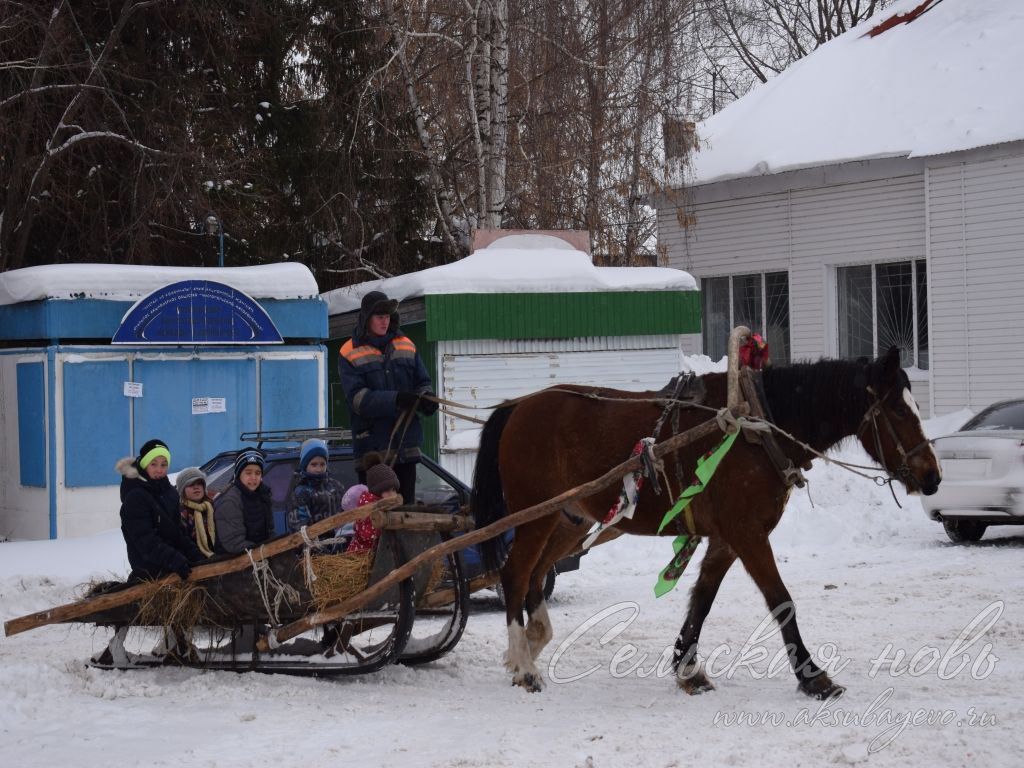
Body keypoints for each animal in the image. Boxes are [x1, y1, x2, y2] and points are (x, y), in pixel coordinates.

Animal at [468, 348, 937, 696]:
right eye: (898, 411)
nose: (933, 476)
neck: (756, 427)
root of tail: (517, 406)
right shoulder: (747, 534)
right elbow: (781, 599)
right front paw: (813, 676)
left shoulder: (726, 540)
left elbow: (702, 600)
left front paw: (687, 669)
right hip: (537, 515)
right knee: (516, 573)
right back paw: (525, 665)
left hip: (570, 521)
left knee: (536, 574)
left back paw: (532, 641)